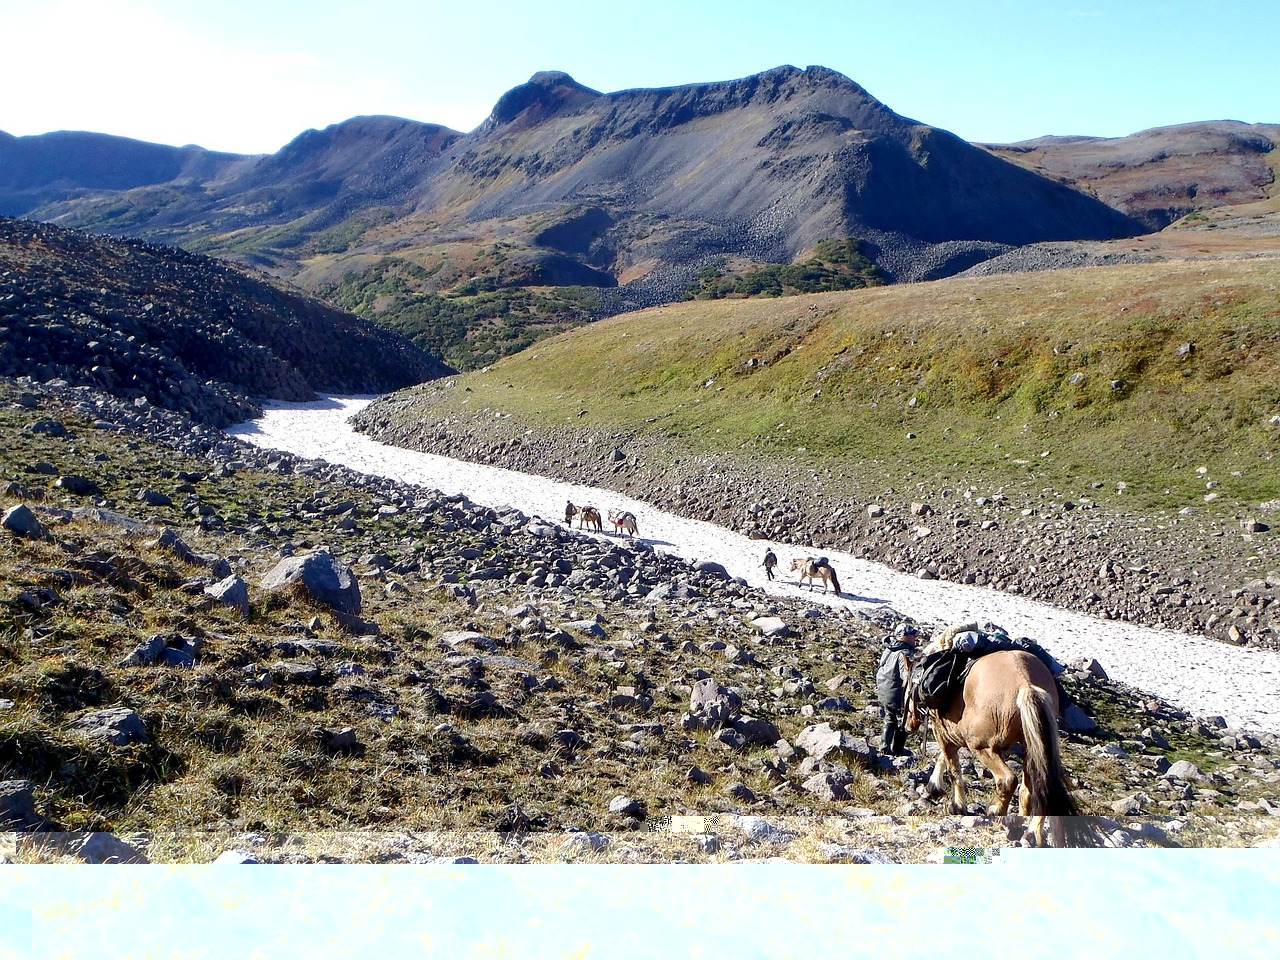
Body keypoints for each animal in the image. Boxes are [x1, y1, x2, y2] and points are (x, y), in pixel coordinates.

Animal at [906, 650, 1085, 844]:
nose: (908, 726)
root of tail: (1025, 683)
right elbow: (943, 758)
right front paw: (933, 787)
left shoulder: (944, 733)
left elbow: (952, 768)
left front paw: (955, 805)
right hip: (1031, 747)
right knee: (1034, 789)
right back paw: (1029, 831)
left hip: (982, 747)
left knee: (1007, 780)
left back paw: (996, 812)